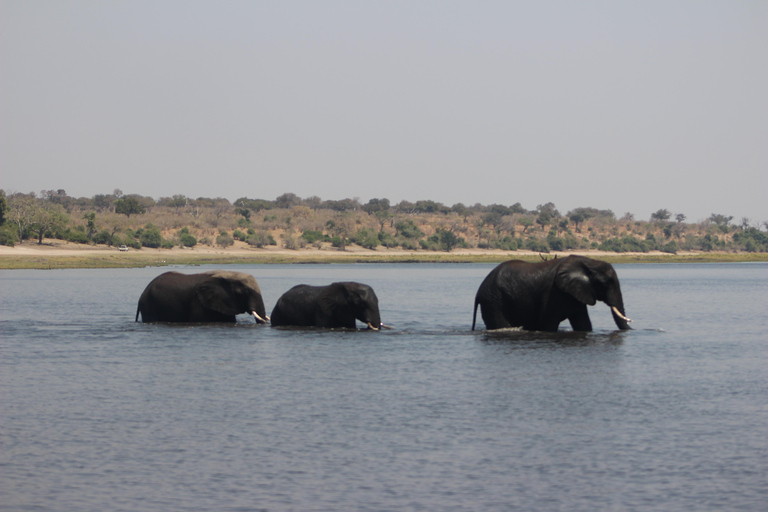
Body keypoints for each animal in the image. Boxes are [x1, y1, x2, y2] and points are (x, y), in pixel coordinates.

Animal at [474, 256, 632, 332]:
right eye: (606, 283)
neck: (588, 262)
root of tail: (479, 291)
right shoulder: (553, 293)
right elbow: (547, 324)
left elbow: (583, 324)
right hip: (494, 300)